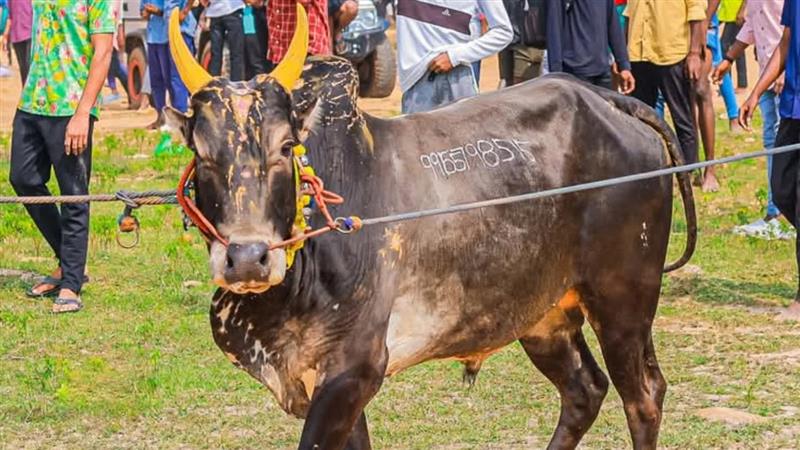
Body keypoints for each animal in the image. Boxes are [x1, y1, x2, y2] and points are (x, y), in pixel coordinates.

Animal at [164, 7, 696, 450]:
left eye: (284, 147)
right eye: (201, 152)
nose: (247, 259)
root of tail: (609, 99)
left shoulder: (354, 371)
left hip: (623, 300)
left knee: (644, 396)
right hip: (543, 314)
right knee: (585, 389)